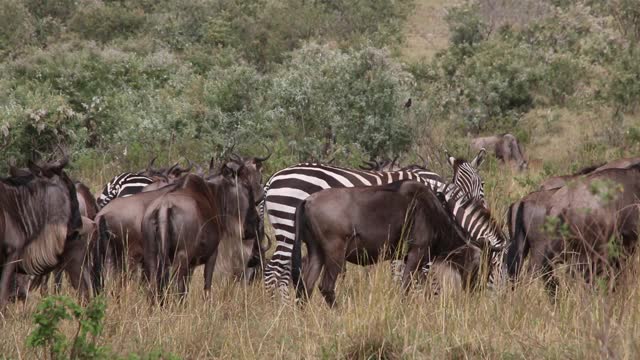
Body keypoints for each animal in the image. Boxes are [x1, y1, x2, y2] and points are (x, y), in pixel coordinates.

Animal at [260, 149, 484, 298]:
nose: (475, 298)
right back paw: (281, 309)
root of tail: (272, 179)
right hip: (288, 228)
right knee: (274, 271)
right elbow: (416, 276)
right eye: (483, 184)